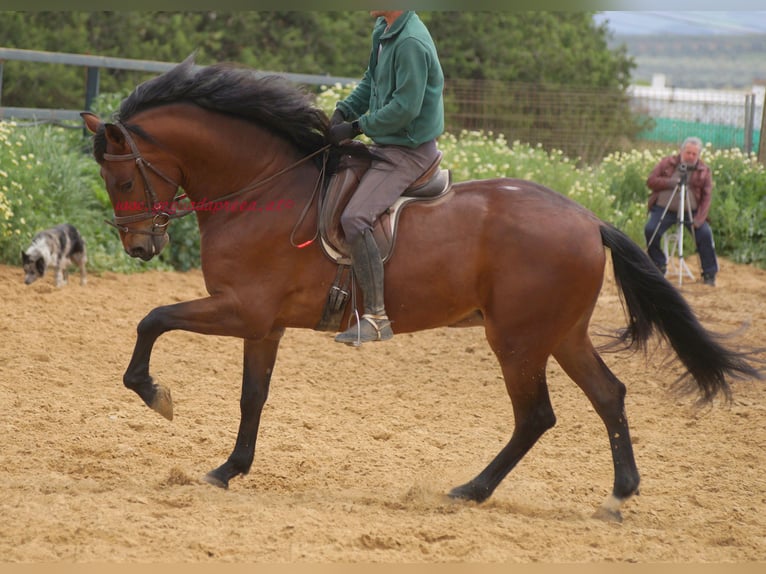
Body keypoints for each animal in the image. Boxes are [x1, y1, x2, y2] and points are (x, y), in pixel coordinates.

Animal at [81, 56, 760, 523]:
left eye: (121, 180)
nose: (140, 247)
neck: (263, 187)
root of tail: (587, 219)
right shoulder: (261, 324)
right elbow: (253, 397)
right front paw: (228, 469)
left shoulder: (240, 310)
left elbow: (152, 318)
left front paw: (156, 395)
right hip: (560, 334)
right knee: (608, 396)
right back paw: (618, 495)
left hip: (516, 339)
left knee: (537, 415)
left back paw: (471, 490)